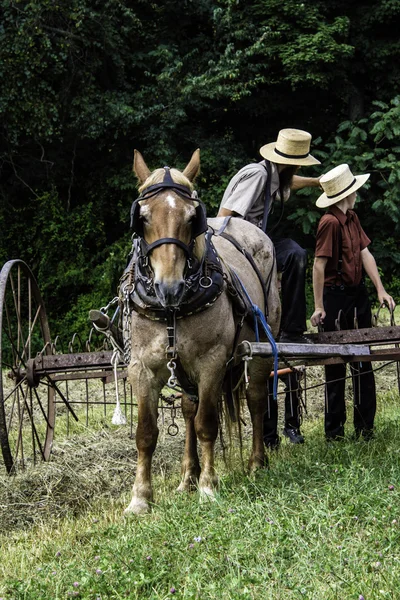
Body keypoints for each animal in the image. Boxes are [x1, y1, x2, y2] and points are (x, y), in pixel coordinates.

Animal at [122, 148, 282, 512]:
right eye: (143, 217)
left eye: (192, 216)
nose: (169, 287)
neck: (172, 309)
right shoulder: (142, 367)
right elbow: (146, 433)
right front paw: (141, 497)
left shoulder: (212, 362)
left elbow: (207, 424)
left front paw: (209, 487)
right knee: (187, 410)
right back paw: (187, 477)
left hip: (261, 350)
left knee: (255, 400)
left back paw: (256, 463)